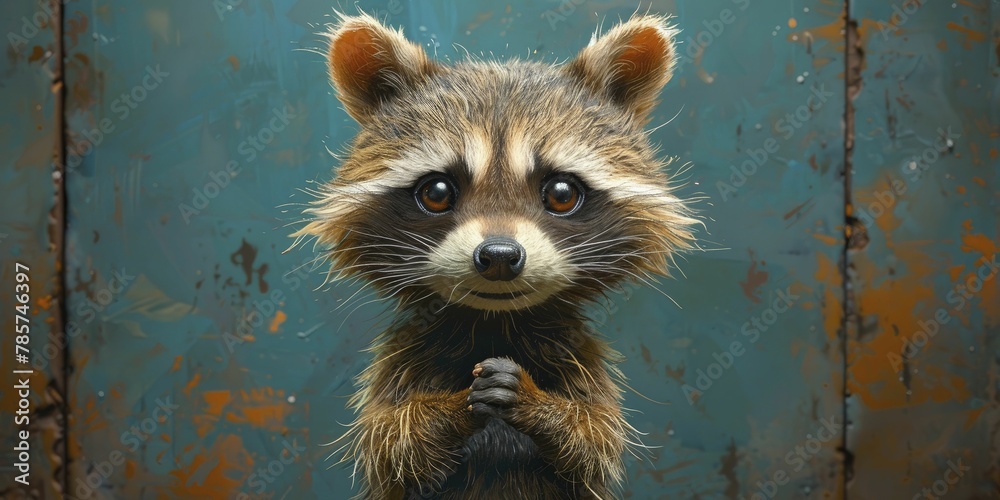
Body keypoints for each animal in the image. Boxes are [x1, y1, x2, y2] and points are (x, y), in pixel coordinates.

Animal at [294, 12, 697, 500]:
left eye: (561, 193)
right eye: (437, 192)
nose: (500, 255)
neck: (494, 321)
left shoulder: (579, 357)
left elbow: (593, 437)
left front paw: (539, 405)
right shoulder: (401, 357)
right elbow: (393, 439)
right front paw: (453, 409)